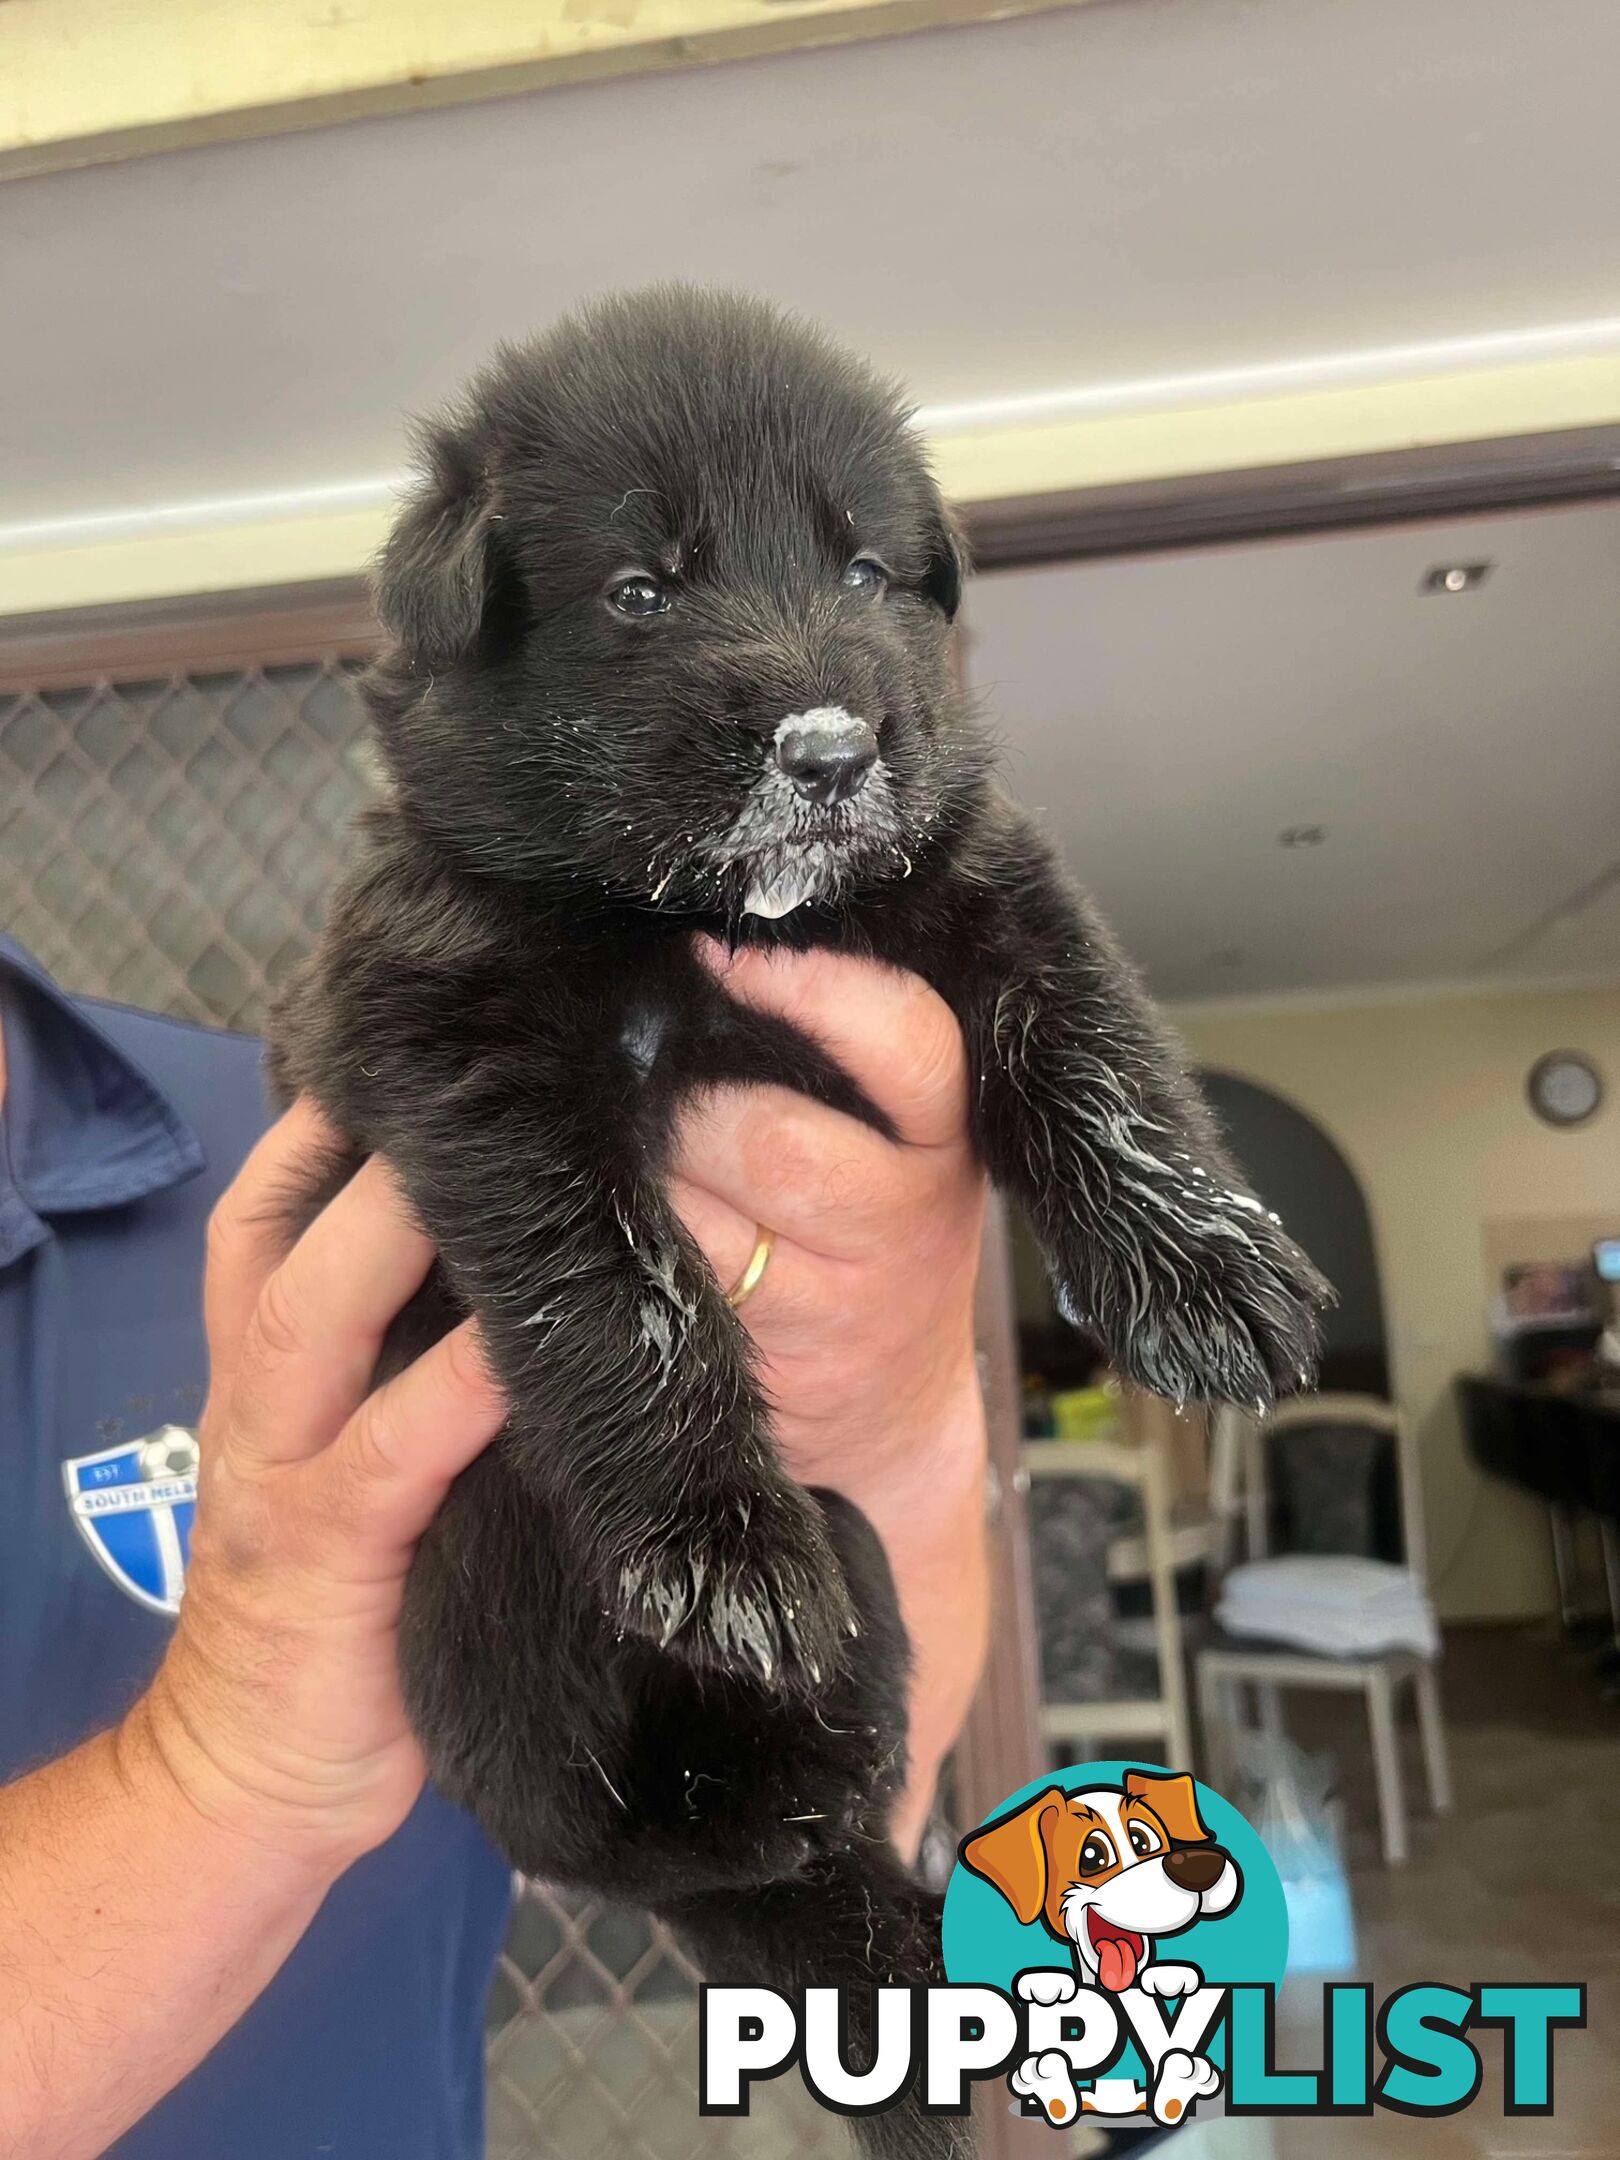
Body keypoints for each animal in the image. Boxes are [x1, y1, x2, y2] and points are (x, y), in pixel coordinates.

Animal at [270, 291, 1330, 2160]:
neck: (707, 922)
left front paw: (1209, 1270)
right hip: (485, 1590)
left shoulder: (985, 886)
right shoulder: (469, 1043)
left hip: (870, 1564)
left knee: (796, 1833)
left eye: (864, 569)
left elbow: (1098, 1046)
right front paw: (719, 1545)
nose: (830, 751)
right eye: (642, 588)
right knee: (632, 1836)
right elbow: (623, 1289)